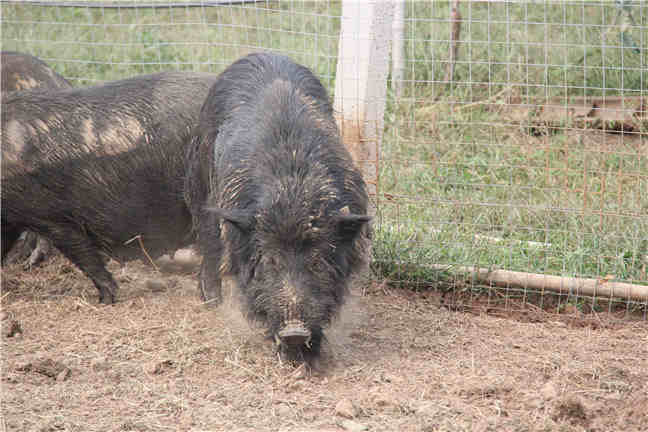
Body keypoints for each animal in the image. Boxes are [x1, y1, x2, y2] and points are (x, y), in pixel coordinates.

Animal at [185, 53, 372, 362]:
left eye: (317, 261)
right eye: (270, 261)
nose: (294, 331)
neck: (292, 192)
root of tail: (261, 53)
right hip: (200, 181)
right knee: (209, 242)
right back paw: (212, 302)